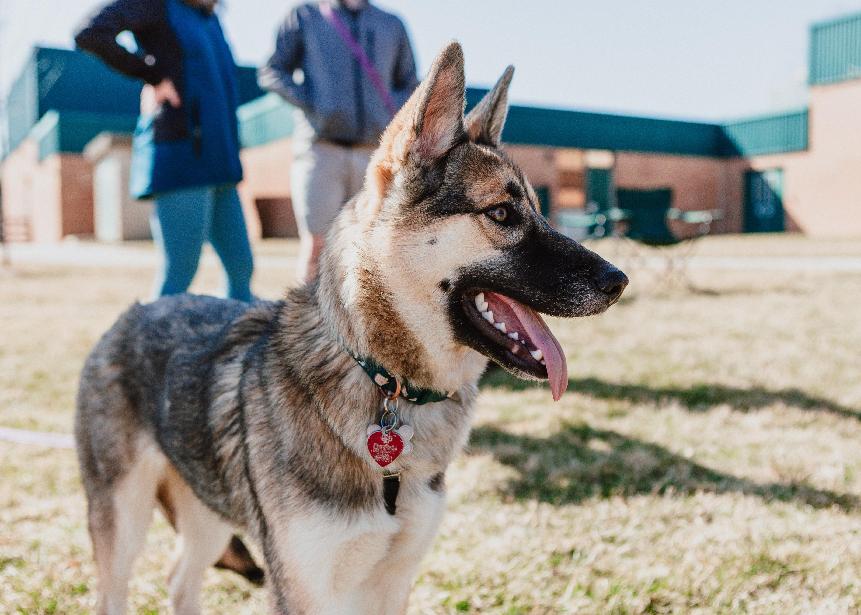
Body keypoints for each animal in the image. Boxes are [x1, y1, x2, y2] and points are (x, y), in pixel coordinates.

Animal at [75, 44, 624, 615]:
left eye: (538, 212)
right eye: (500, 213)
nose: (619, 281)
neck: (383, 380)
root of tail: (134, 311)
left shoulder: (391, 583)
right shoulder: (303, 587)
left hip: (205, 511)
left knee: (179, 577)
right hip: (123, 524)